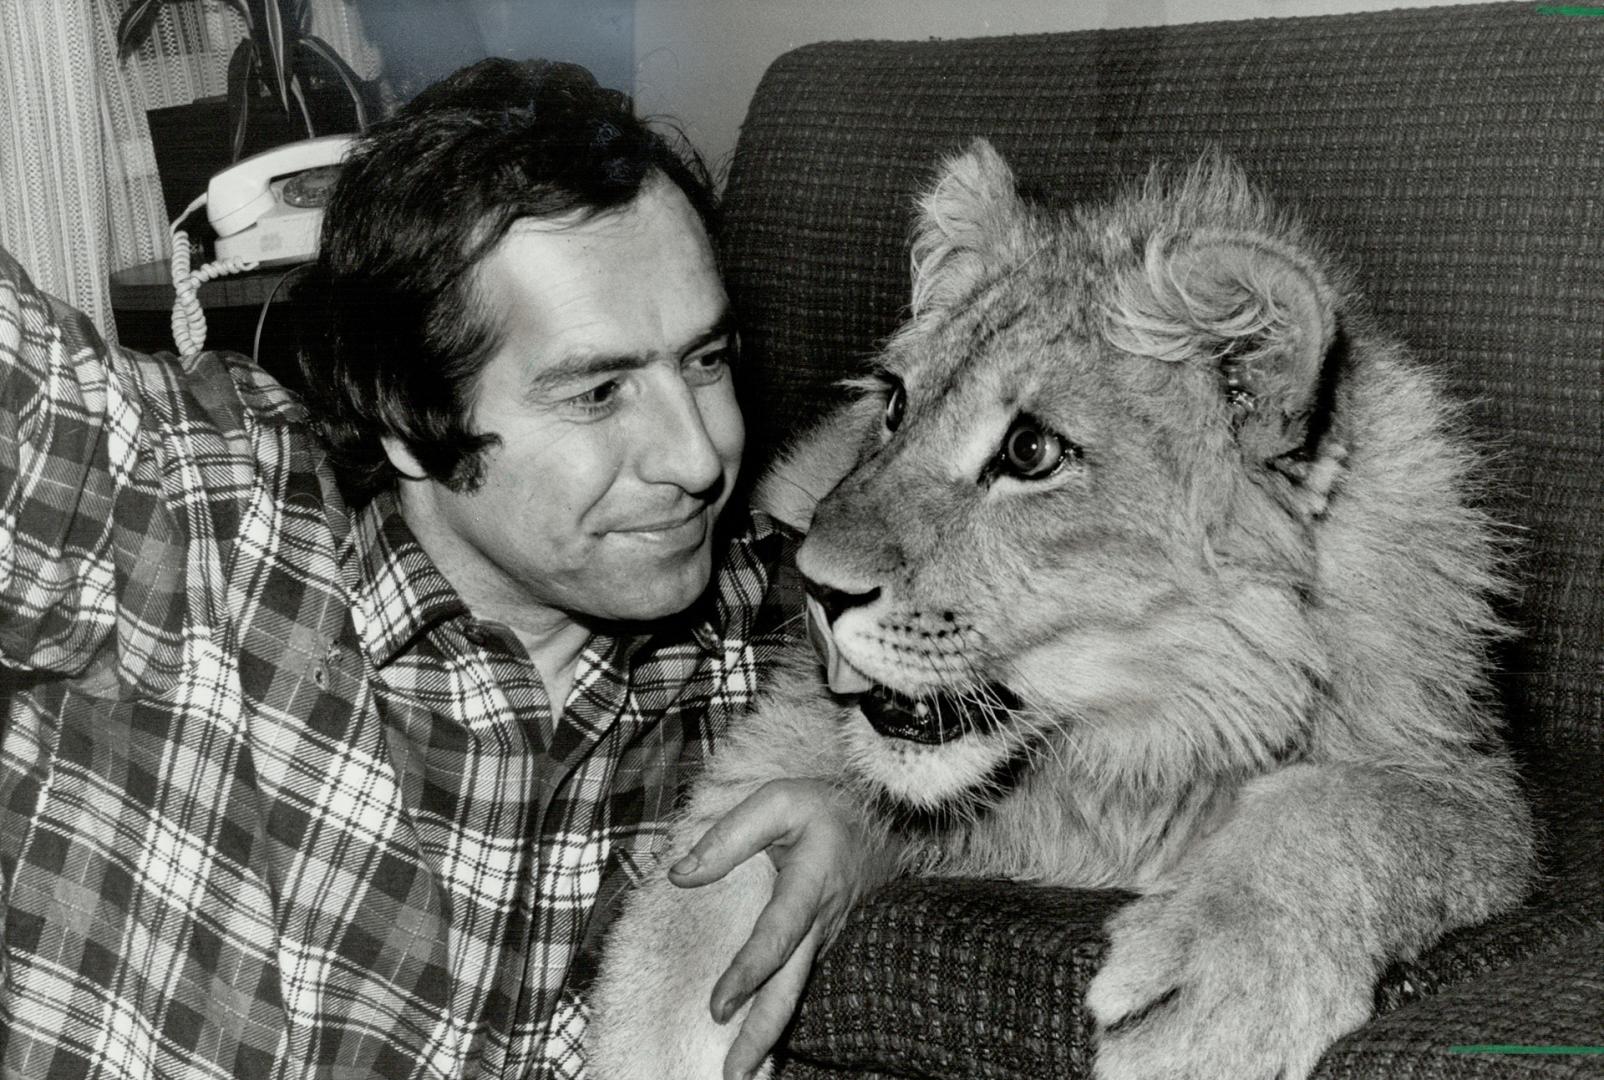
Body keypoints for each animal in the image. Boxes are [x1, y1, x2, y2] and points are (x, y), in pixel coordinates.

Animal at [583, 142, 1533, 1078]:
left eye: (1031, 452)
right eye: (896, 407)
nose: (812, 583)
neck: (1121, 758)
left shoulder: (1475, 784)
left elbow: (1348, 814)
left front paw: (1209, 999)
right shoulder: (787, 746)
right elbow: (685, 934)